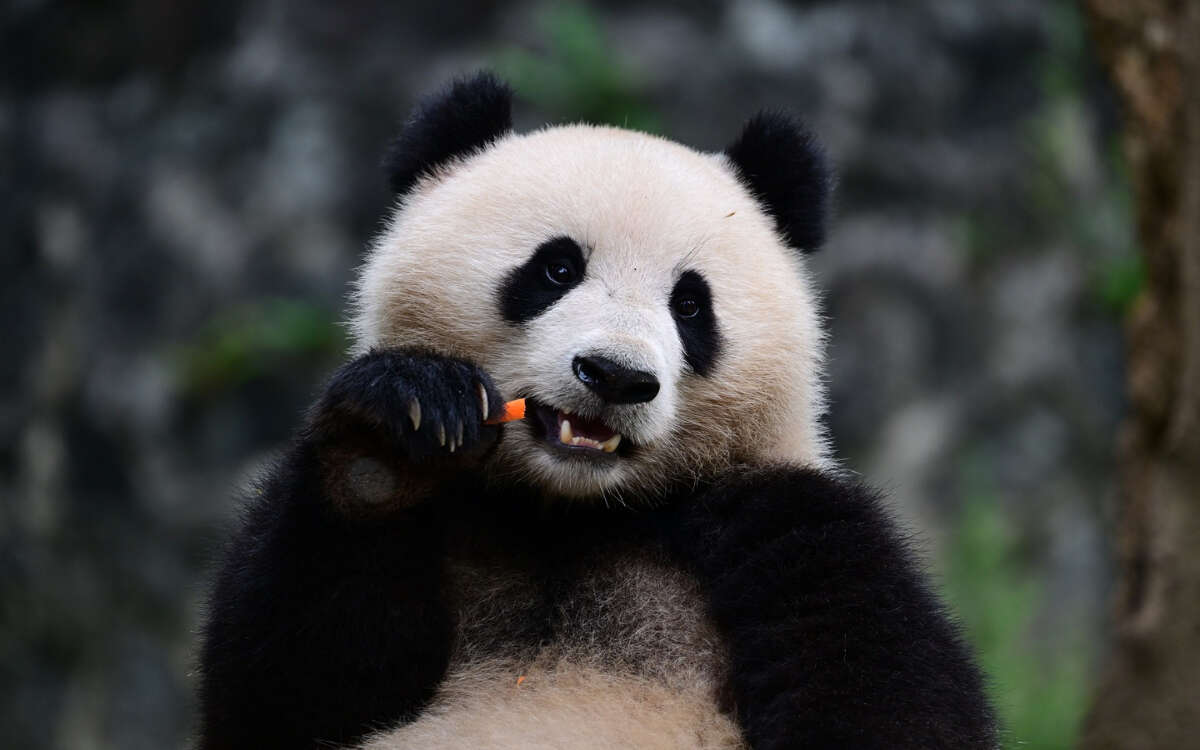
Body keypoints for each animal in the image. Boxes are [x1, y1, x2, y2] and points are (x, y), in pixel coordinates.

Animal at [199, 71, 993, 748]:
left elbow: (891, 695)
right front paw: (393, 438)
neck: (570, 512)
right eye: (556, 268)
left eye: (690, 305)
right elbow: (290, 689)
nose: (616, 377)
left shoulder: (790, 524)